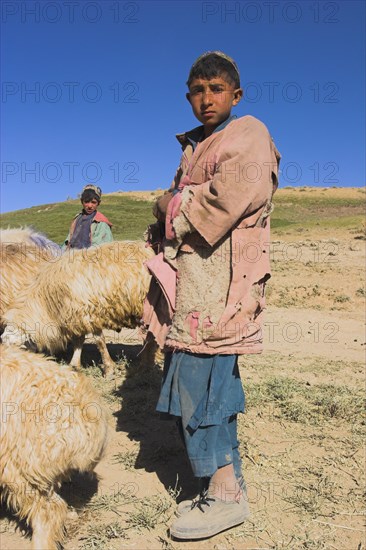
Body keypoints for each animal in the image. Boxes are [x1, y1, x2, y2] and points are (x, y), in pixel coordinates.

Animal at [2, 243, 157, 380]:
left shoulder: (90, 313)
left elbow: (100, 342)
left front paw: (108, 370)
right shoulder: (77, 315)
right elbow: (79, 340)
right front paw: (74, 364)